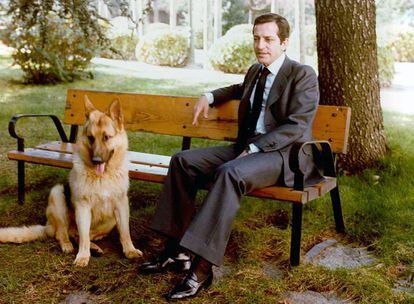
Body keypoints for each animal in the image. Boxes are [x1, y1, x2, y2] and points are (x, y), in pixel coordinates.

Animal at [0, 97, 143, 266]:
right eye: (91, 137)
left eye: (106, 137)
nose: (96, 160)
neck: (103, 176)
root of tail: (48, 226)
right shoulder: (83, 206)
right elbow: (83, 237)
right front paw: (82, 256)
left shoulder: (121, 204)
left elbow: (125, 232)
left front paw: (130, 250)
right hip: (57, 195)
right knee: (64, 233)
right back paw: (68, 245)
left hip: (110, 220)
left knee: (82, 235)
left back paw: (94, 247)